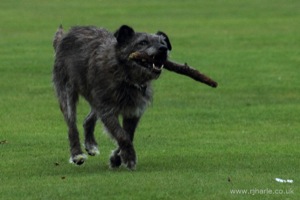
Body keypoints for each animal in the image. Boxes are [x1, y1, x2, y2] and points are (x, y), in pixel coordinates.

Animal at [53, 24, 172, 170]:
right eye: (143, 42)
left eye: (162, 42)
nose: (163, 49)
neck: (124, 74)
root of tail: (65, 36)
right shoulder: (107, 110)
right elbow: (121, 135)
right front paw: (129, 157)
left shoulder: (133, 112)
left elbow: (128, 134)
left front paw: (116, 158)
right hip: (67, 93)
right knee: (72, 127)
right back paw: (77, 154)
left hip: (95, 100)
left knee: (87, 120)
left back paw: (90, 145)